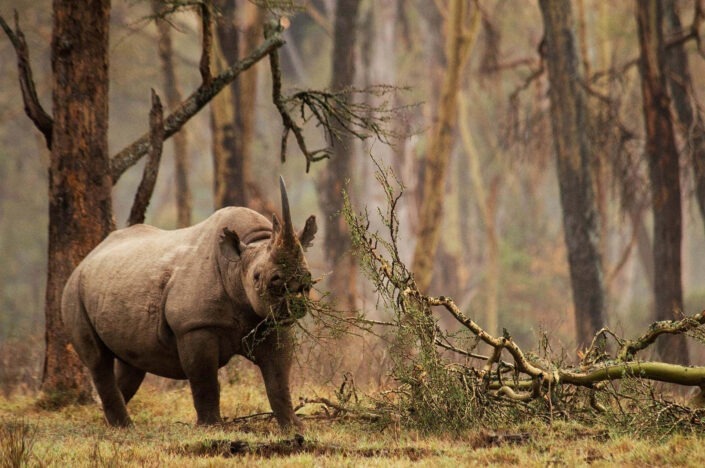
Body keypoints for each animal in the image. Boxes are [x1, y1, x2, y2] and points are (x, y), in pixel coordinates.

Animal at [61, 177, 316, 431]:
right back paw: (123, 426)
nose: (295, 285)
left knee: (130, 362)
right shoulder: (193, 325)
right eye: (257, 277)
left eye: (308, 273)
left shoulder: (271, 322)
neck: (235, 266)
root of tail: (86, 259)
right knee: (98, 361)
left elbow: (278, 379)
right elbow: (204, 380)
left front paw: (295, 428)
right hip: (74, 291)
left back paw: (112, 424)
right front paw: (211, 427)